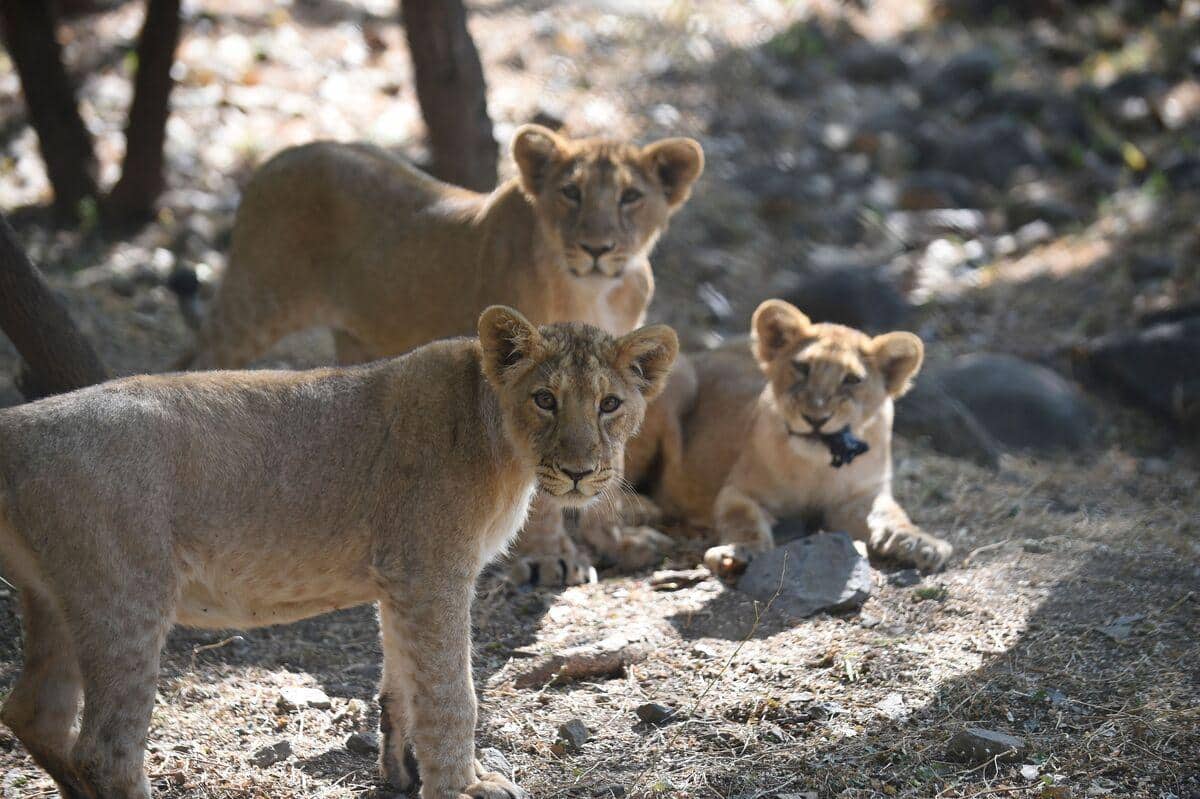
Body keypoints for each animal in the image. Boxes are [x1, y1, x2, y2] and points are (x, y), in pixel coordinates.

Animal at [0, 306, 678, 799]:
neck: (502, 444)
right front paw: (463, 787)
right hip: (127, 597)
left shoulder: (400, 579)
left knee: (34, 712)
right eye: (545, 399)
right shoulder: (432, 572)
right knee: (106, 750)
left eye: (610, 404)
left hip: (56, 598)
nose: (580, 471)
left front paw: (402, 774)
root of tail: (18, 426)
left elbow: (403, 680)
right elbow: (451, 692)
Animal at [625, 299, 953, 577]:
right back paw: (642, 511)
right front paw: (739, 552)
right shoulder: (738, 491)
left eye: (852, 380)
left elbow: (892, 515)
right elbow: (744, 520)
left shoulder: (862, 497)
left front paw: (920, 543)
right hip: (678, 379)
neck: (817, 466)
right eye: (802, 367)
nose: (816, 418)